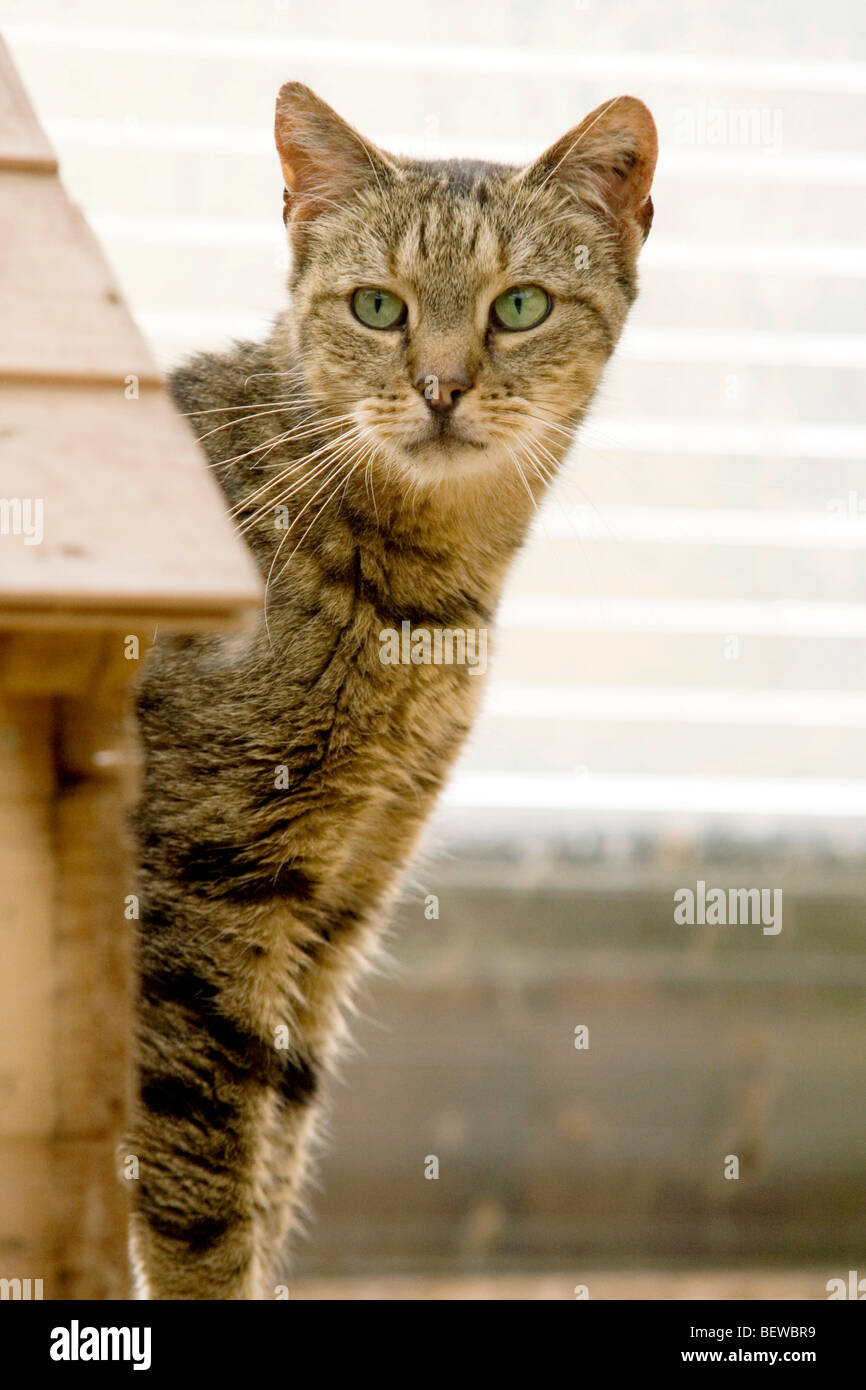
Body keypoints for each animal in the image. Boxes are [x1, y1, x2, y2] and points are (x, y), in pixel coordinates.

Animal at [127, 81, 656, 1295]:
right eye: (377, 307)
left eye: (519, 306)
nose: (442, 388)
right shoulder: (196, 896)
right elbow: (202, 1194)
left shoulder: (337, 905)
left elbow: (275, 1155)